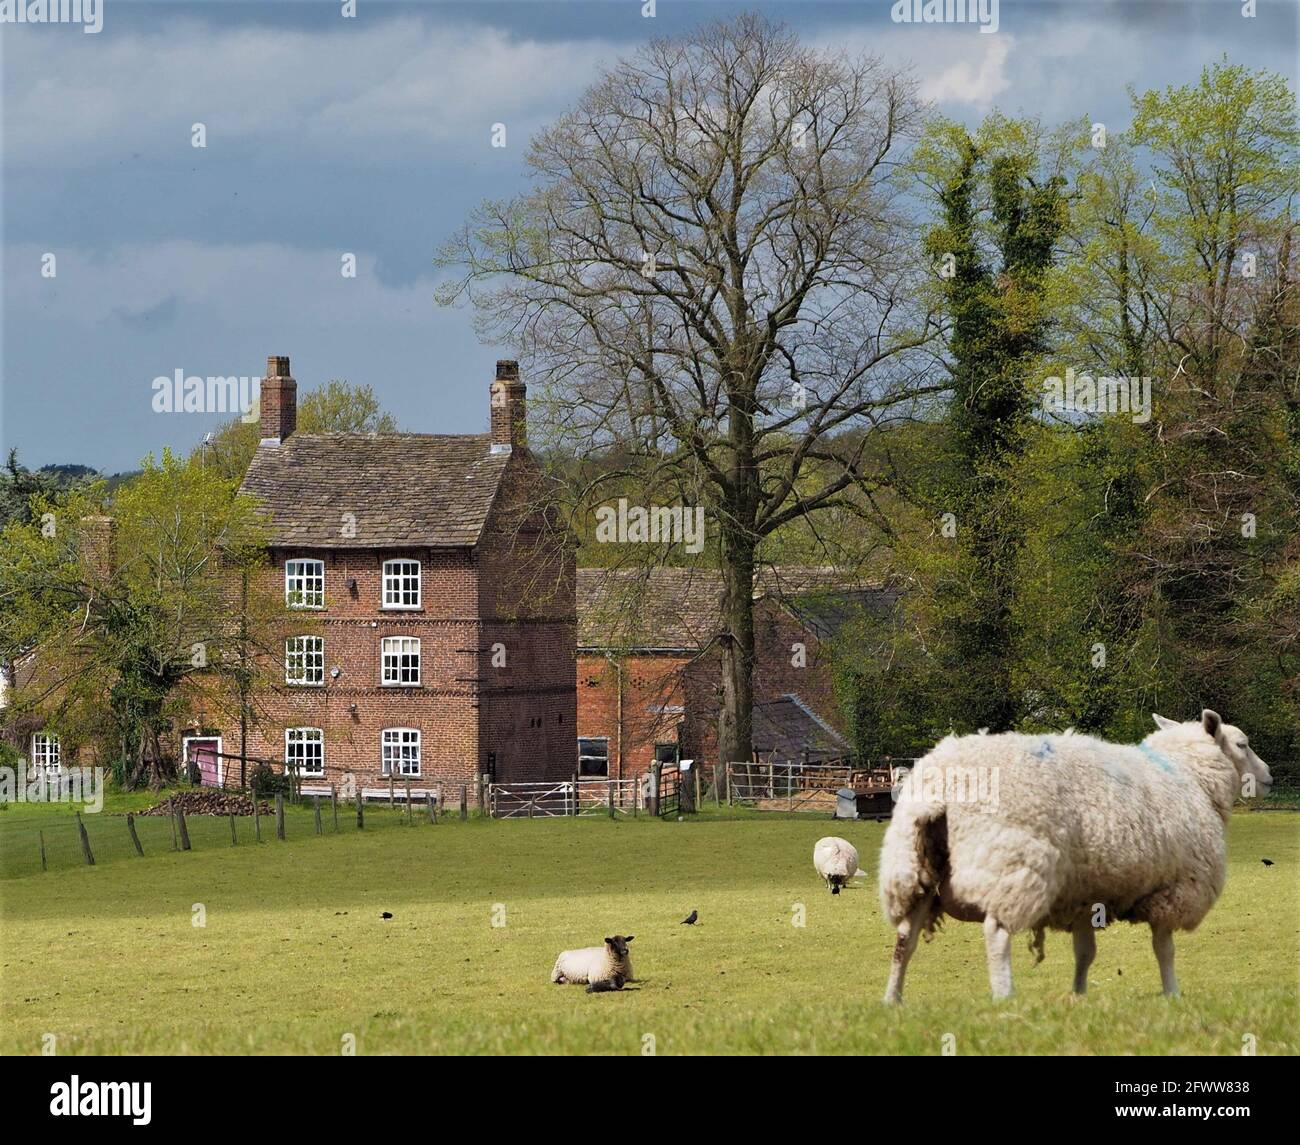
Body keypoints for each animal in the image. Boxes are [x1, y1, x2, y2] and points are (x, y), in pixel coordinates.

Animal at [878, 707, 1274, 998]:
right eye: (1242, 744)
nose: (1269, 776)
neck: (1189, 777)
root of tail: (940, 785)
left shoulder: (1084, 894)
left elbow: (1085, 953)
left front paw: (1078, 997)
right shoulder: (1173, 889)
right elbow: (1165, 950)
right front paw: (1172, 993)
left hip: (913, 871)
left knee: (904, 941)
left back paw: (893, 1000)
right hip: (1010, 867)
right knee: (996, 935)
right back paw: (1005, 997)